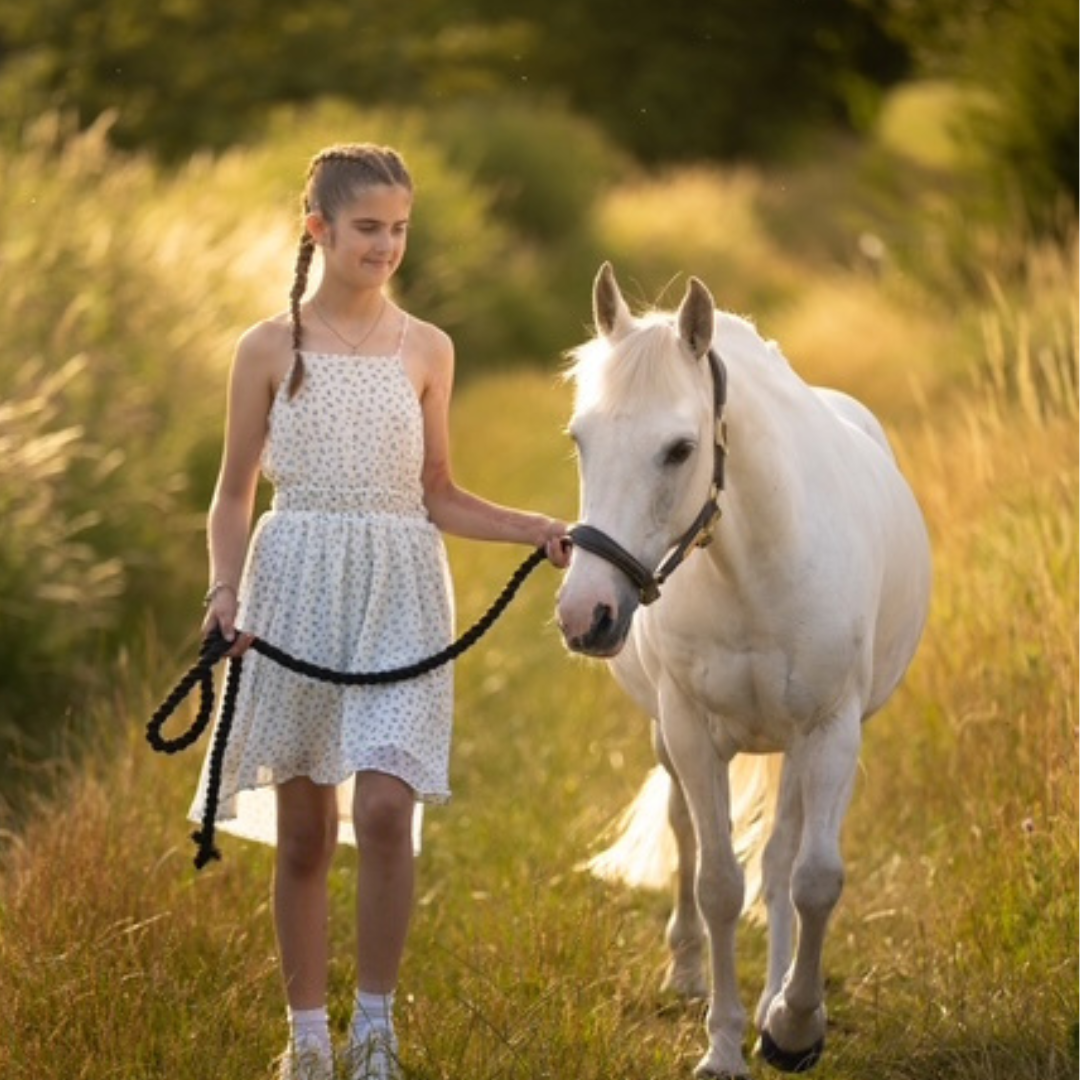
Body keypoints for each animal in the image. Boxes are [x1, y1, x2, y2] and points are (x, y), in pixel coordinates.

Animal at [556, 263, 931, 1078]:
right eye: (579, 440)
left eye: (679, 449)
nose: (586, 614)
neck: (754, 566)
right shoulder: (693, 734)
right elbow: (719, 883)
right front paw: (725, 1047)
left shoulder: (831, 731)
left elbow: (812, 879)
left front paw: (792, 1026)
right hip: (673, 739)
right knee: (686, 833)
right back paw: (688, 971)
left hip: (797, 746)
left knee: (784, 855)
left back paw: (776, 998)